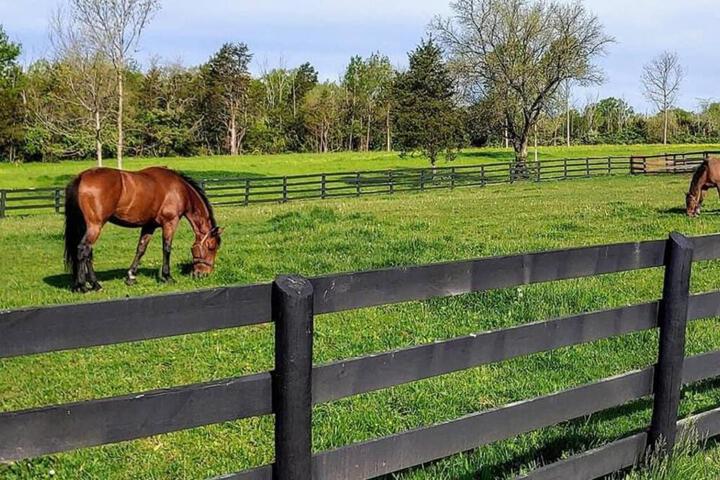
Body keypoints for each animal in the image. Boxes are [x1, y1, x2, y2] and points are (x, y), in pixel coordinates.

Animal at [64, 167, 223, 293]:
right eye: (212, 247)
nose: (203, 274)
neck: (180, 190)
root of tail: (81, 177)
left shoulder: (149, 226)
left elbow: (141, 249)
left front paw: (131, 276)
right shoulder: (170, 223)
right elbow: (167, 248)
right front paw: (167, 276)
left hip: (86, 226)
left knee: (87, 253)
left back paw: (92, 285)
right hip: (95, 226)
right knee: (83, 249)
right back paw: (84, 286)